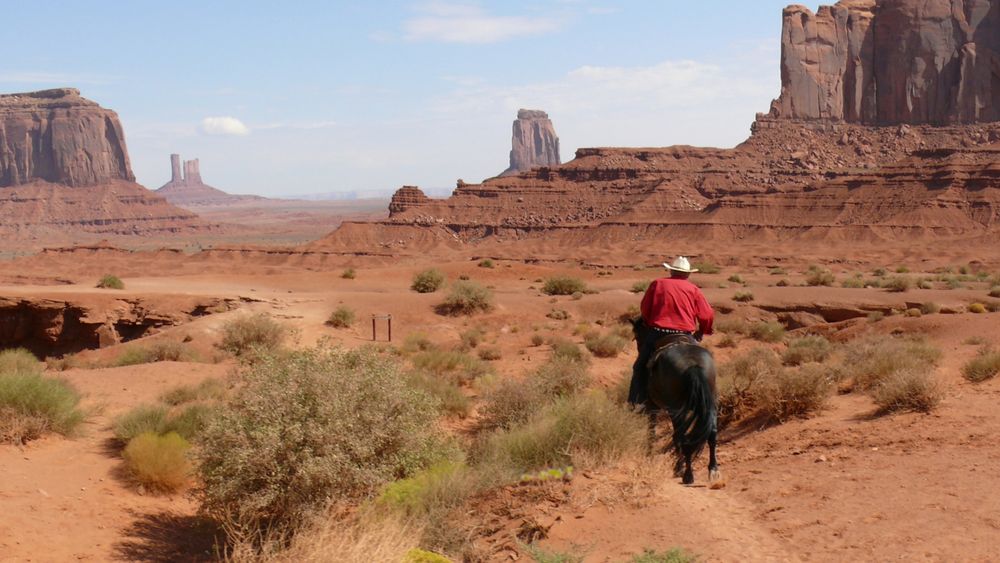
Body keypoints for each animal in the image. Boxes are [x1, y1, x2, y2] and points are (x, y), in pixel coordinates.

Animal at [632, 320, 720, 486]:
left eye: (636, 335)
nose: (639, 348)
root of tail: (693, 364)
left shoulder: (652, 406)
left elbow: (652, 431)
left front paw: (649, 454)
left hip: (676, 409)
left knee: (681, 436)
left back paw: (685, 473)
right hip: (709, 405)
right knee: (711, 433)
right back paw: (713, 470)